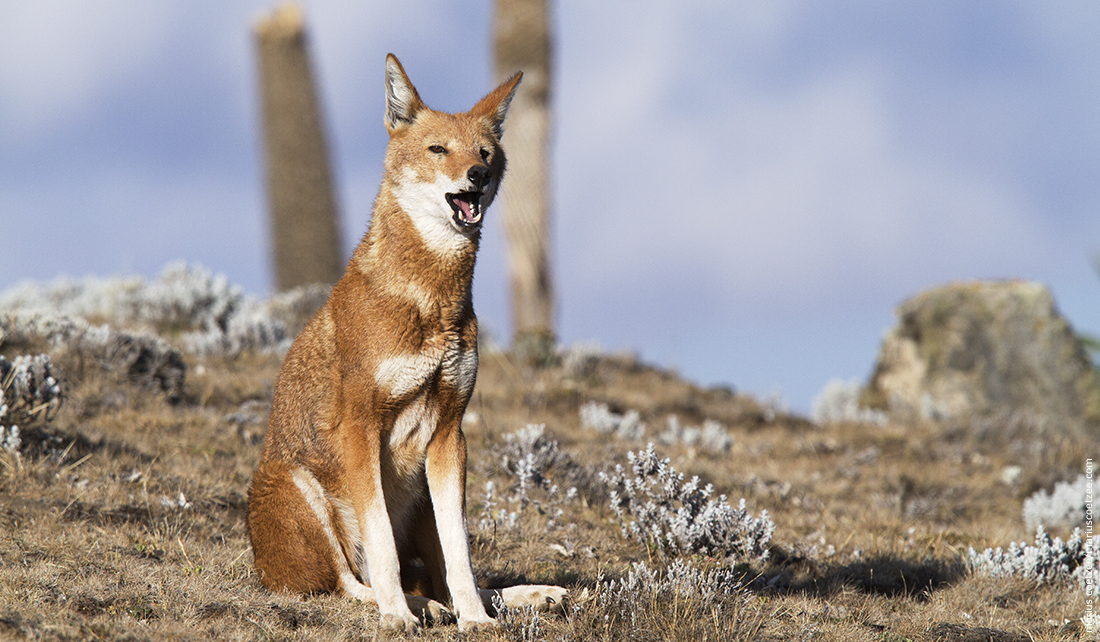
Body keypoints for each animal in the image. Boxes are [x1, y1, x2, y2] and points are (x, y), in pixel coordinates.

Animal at [245, 53, 563, 633]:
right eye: (438, 149)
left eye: (485, 153)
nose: (477, 176)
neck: (432, 298)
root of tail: (262, 565)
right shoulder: (361, 428)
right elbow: (382, 552)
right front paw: (397, 614)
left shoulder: (451, 435)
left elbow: (460, 555)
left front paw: (476, 621)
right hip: (302, 487)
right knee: (347, 583)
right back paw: (415, 607)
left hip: (418, 495)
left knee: (444, 577)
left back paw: (519, 597)